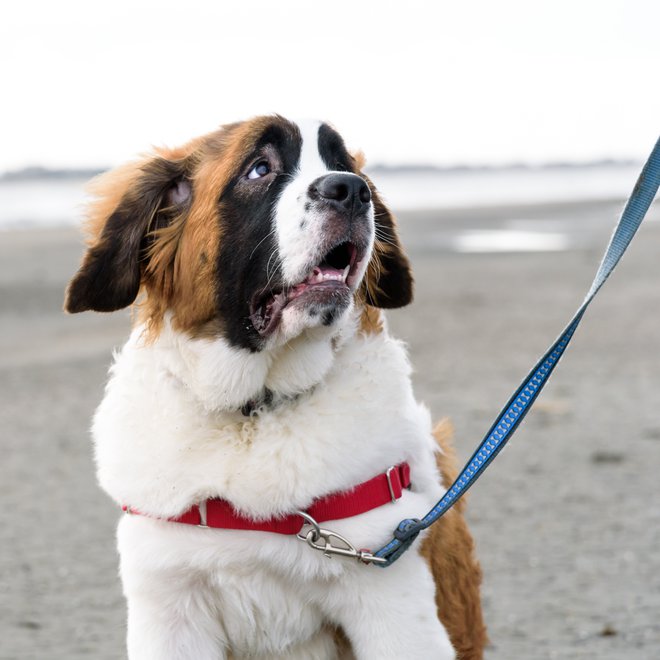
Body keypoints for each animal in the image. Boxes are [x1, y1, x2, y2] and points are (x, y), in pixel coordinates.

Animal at [64, 116, 488, 656]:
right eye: (259, 169)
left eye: (343, 165)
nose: (351, 190)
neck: (254, 410)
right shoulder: (169, 603)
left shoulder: (390, 598)